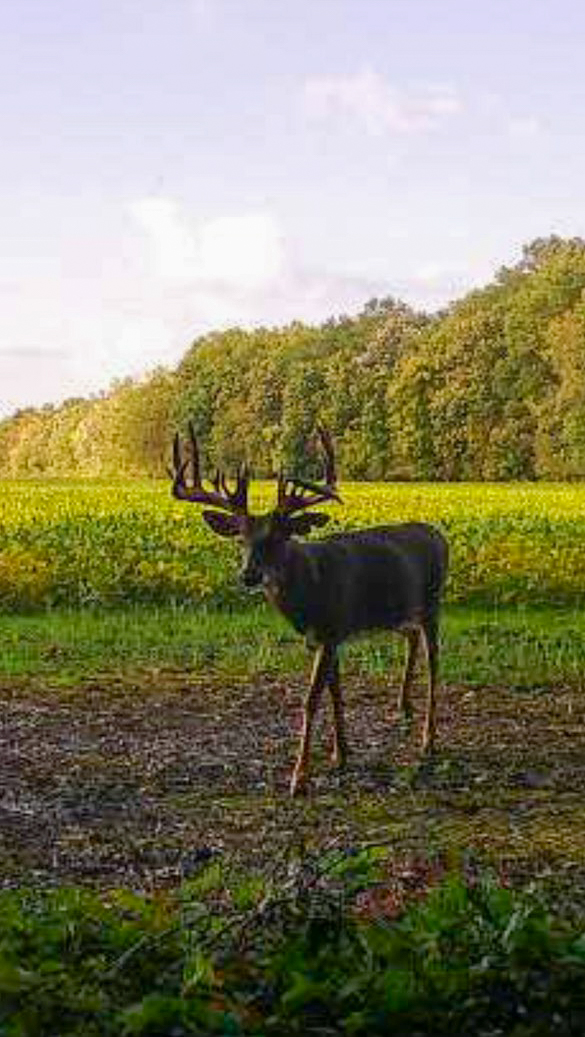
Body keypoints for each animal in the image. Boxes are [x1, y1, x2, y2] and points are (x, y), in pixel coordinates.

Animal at [169, 421, 448, 792]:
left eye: (278, 538)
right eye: (241, 539)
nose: (248, 575)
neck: (310, 591)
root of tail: (439, 534)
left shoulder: (331, 630)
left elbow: (311, 698)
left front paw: (299, 776)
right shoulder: (325, 637)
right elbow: (335, 692)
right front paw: (340, 754)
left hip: (433, 604)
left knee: (435, 664)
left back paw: (428, 740)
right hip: (401, 612)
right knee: (411, 639)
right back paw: (403, 708)